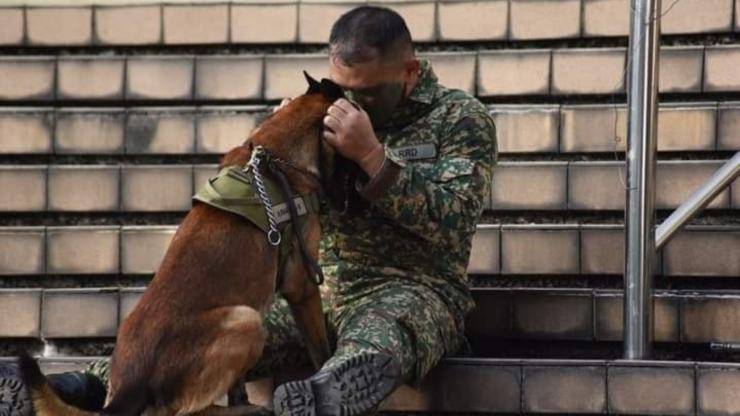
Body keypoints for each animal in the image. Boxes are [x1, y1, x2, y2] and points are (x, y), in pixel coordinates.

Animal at [18, 73, 350, 414]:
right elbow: (320, 348)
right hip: (246, 320)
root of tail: (132, 384)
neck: (276, 154)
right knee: (188, 410)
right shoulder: (303, 285)